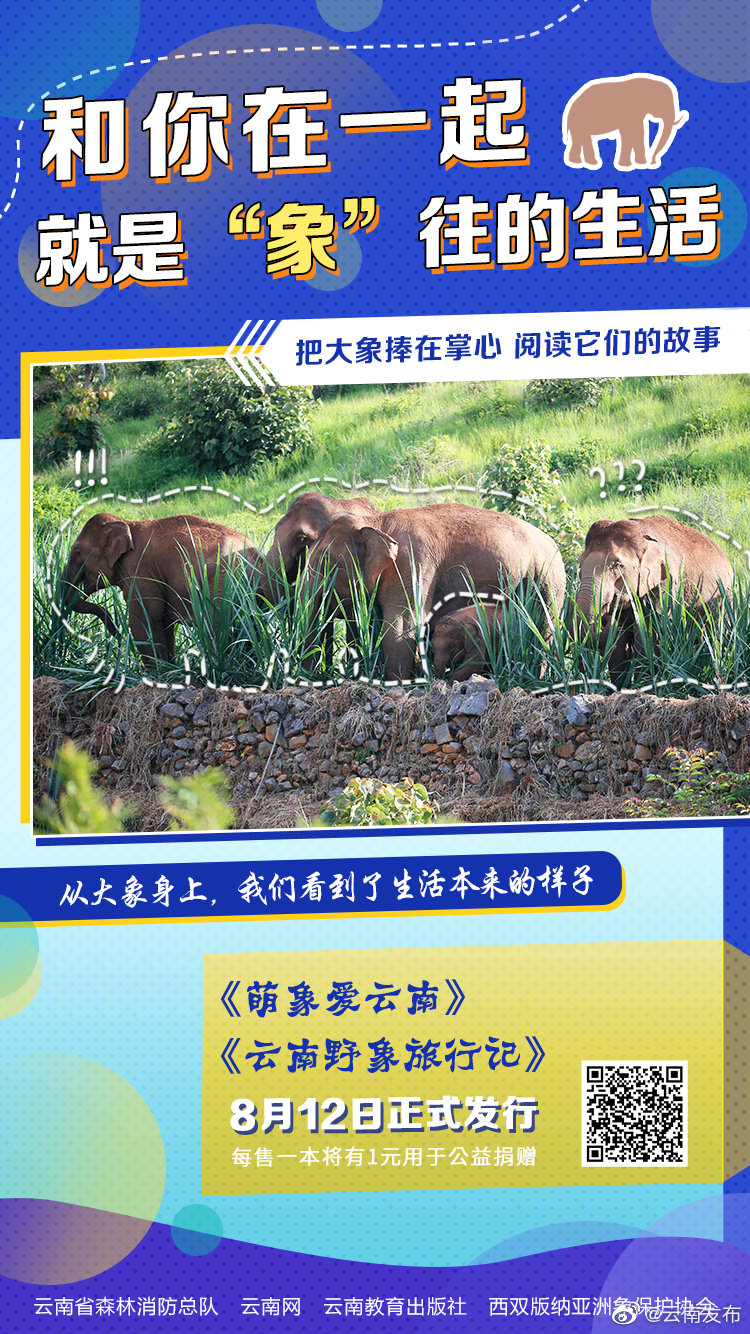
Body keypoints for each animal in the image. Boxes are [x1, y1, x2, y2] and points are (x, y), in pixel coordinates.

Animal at [60, 511, 262, 668]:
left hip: (224, 583)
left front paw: (156, 675)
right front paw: (170, 669)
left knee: (216, 624)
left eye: (77, 551)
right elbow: (164, 622)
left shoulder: (140, 570)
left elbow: (144, 619)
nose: (118, 637)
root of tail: (254, 553)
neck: (127, 524)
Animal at [304, 503, 566, 682]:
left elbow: (401, 625)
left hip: (547, 579)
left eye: (325, 560)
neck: (378, 521)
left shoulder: (413, 561)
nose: (311, 678)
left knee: (543, 629)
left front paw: (397, 685)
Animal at [574, 515, 734, 686]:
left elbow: (648, 633)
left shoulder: (665, 585)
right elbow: (619, 641)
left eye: (618, 565)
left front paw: (642, 685)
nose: (605, 618)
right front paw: (619, 687)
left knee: (715, 635)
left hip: (724, 600)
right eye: (580, 565)